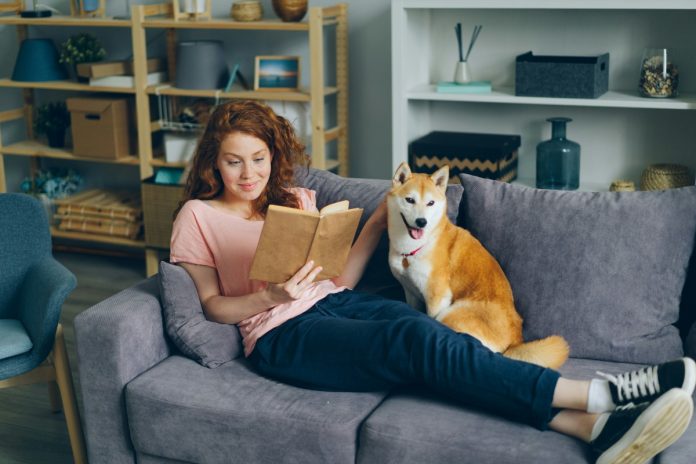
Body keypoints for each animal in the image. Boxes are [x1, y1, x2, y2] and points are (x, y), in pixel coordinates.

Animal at [386, 163, 572, 370]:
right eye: (410, 200)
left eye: (431, 203)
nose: (421, 222)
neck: (414, 248)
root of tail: (515, 342)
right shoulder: (410, 292)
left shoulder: (437, 296)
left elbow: (430, 318)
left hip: (451, 314)